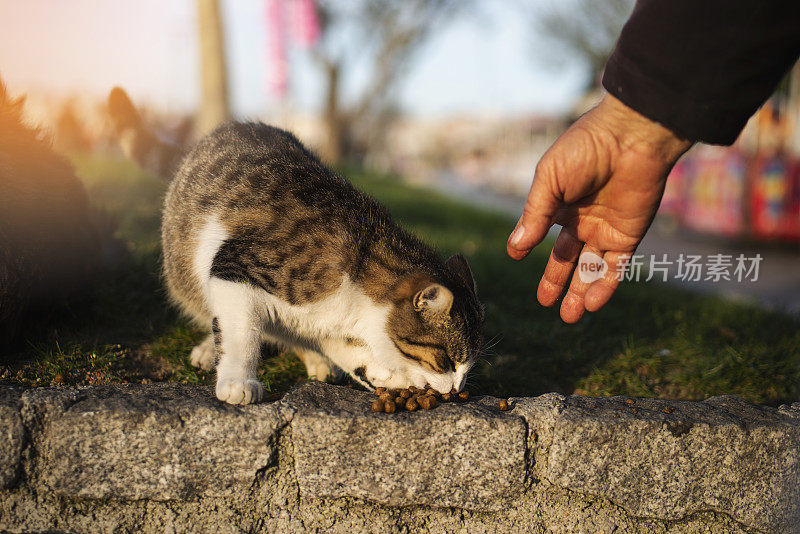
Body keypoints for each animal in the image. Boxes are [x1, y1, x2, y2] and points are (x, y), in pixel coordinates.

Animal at [106, 88, 482, 406]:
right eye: (447, 360)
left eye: (466, 366)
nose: (457, 389)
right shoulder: (235, 266)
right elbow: (241, 333)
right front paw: (237, 380)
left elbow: (344, 348)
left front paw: (380, 372)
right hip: (184, 265)